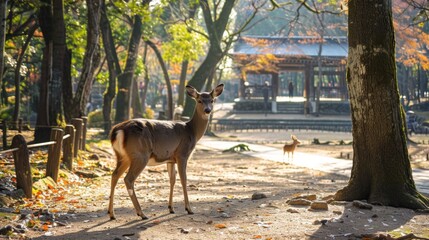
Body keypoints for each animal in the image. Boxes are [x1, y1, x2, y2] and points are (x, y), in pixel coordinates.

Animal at [107, 83, 224, 219]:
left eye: (212, 100)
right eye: (199, 100)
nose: (207, 110)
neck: (192, 131)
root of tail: (118, 131)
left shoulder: (170, 159)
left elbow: (172, 180)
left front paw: (171, 208)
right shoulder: (182, 154)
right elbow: (184, 179)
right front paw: (188, 209)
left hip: (122, 156)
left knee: (114, 175)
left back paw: (112, 213)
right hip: (140, 155)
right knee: (128, 179)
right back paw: (141, 213)